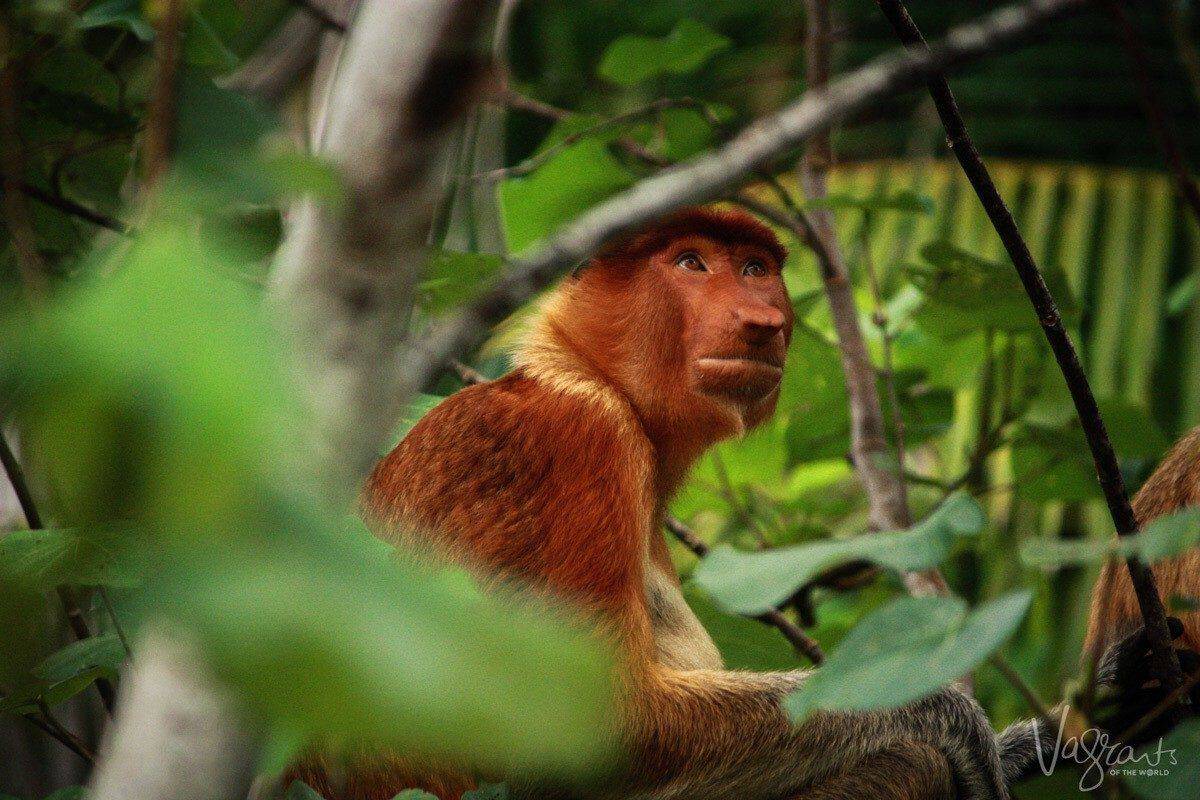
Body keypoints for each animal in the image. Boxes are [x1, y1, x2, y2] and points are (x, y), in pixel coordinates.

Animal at [292, 208, 1180, 800]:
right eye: (690, 262)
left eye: (754, 267)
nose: (764, 321)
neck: (583, 371)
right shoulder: (579, 440)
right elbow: (596, 725)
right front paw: (952, 722)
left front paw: (1071, 723)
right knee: (902, 762)